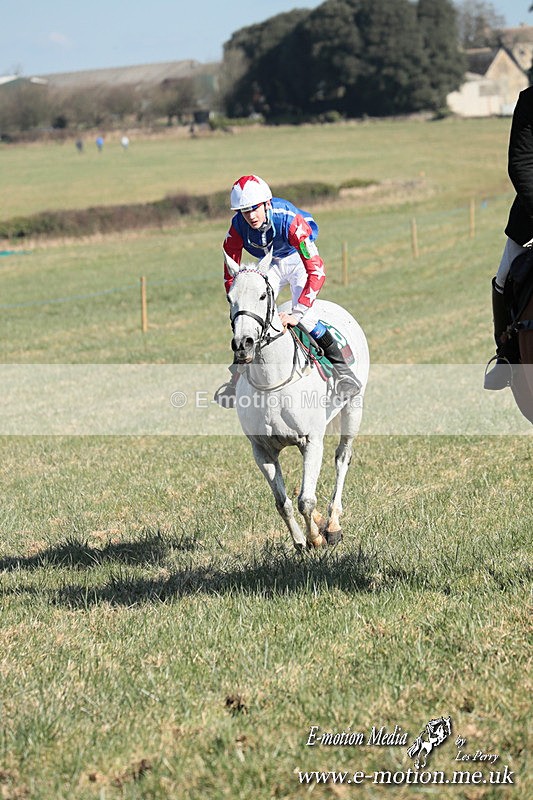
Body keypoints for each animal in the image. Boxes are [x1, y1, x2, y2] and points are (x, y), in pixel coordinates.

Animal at [224, 251, 370, 551]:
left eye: (262, 296)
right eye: (230, 298)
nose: (243, 344)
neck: (272, 384)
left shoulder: (311, 441)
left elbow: (306, 500)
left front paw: (316, 537)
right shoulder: (262, 450)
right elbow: (283, 503)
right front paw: (301, 541)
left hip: (353, 408)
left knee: (342, 458)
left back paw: (333, 525)